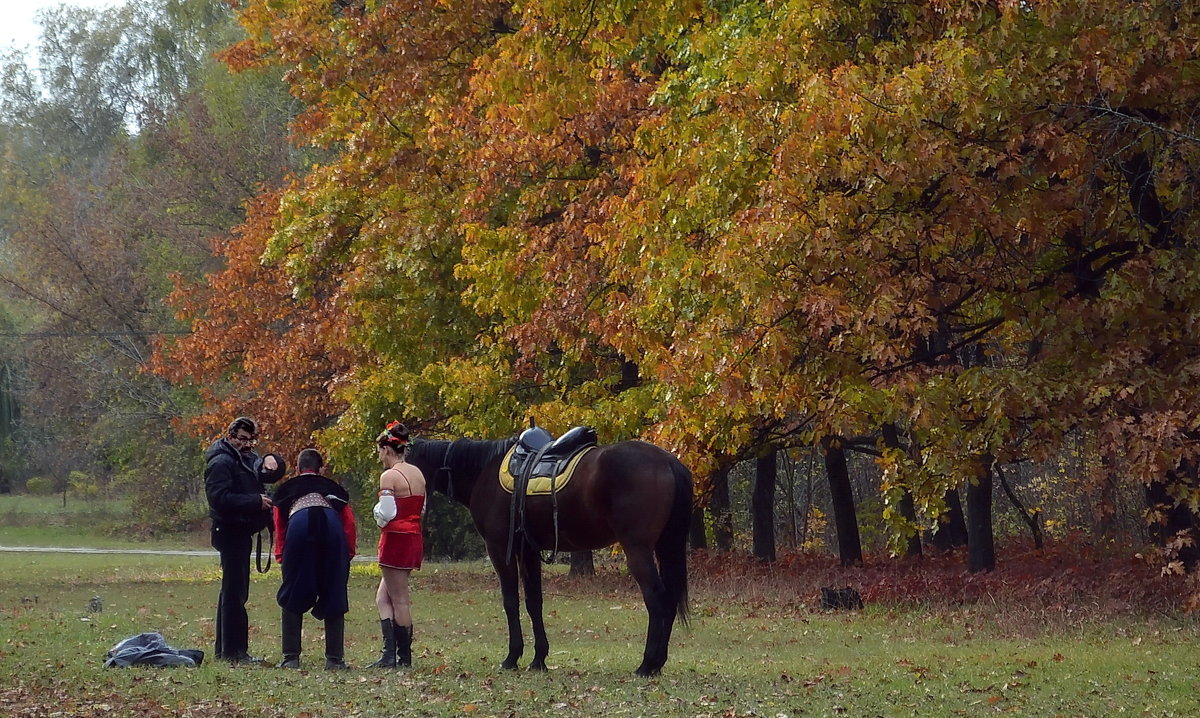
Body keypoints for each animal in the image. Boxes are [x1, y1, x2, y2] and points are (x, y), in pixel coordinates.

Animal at [408, 437, 691, 677]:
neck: (483, 472)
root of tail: (668, 461)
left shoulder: (500, 549)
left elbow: (511, 601)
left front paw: (512, 657)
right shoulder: (528, 550)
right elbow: (534, 602)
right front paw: (538, 659)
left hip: (637, 549)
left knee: (656, 598)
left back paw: (647, 664)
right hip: (663, 546)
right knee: (669, 598)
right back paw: (657, 664)